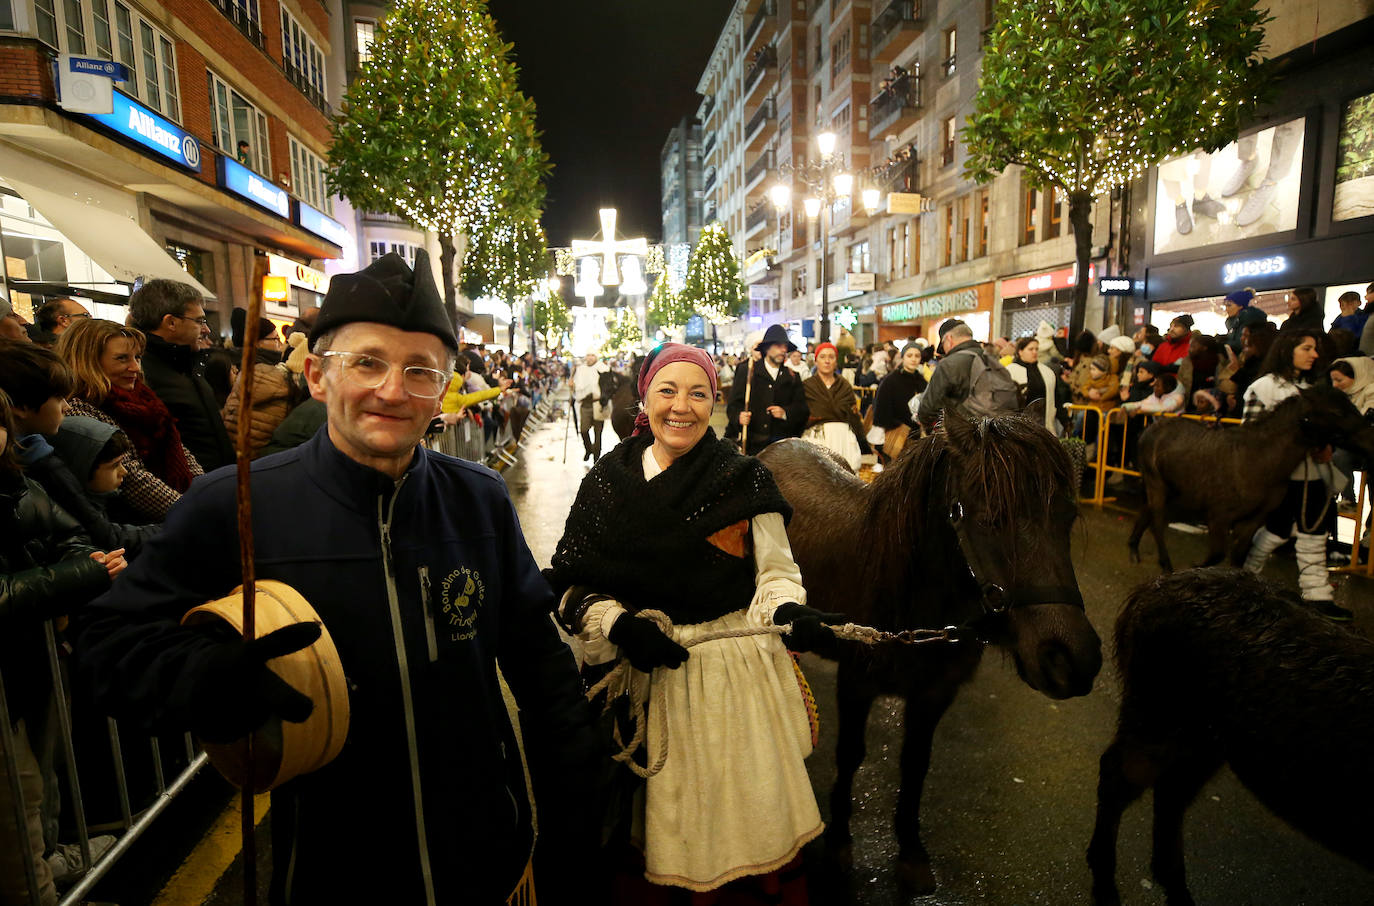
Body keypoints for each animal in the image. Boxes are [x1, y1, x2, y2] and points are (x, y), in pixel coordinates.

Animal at [758, 406, 1099, 896]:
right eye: (991, 518)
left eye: (1067, 516)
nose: (1072, 659)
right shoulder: (856, 685)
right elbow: (851, 755)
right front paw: (840, 840)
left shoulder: (935, 695)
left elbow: (915, 764)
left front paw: (911, 852)